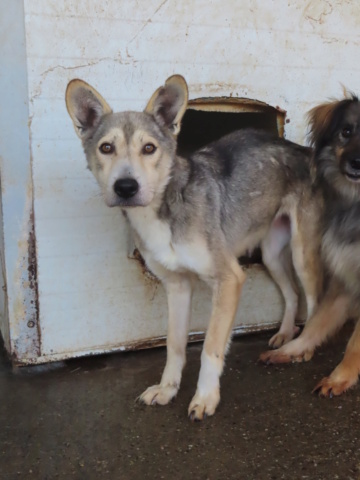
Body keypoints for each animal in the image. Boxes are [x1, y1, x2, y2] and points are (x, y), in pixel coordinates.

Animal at [65, 75, 320, 420]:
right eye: (106, 148)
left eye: (149, 148)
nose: (126, 187)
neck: (164, 210)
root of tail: (303, 150)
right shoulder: (176, 286)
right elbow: (174, 345)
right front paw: (167, 389)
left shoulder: (230, 279)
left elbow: (210, 347)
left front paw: (205, 397)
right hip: (271, 254)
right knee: (292, 293)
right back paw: (284, 333)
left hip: (302, 254)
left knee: (315, 299)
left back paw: (304, 346)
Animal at [260, 94, 360, 398]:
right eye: (346, 131)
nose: (356, 162)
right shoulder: (344, 278)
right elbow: (317, 323)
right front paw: (292, 350)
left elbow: (354, 343)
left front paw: (340, 377)